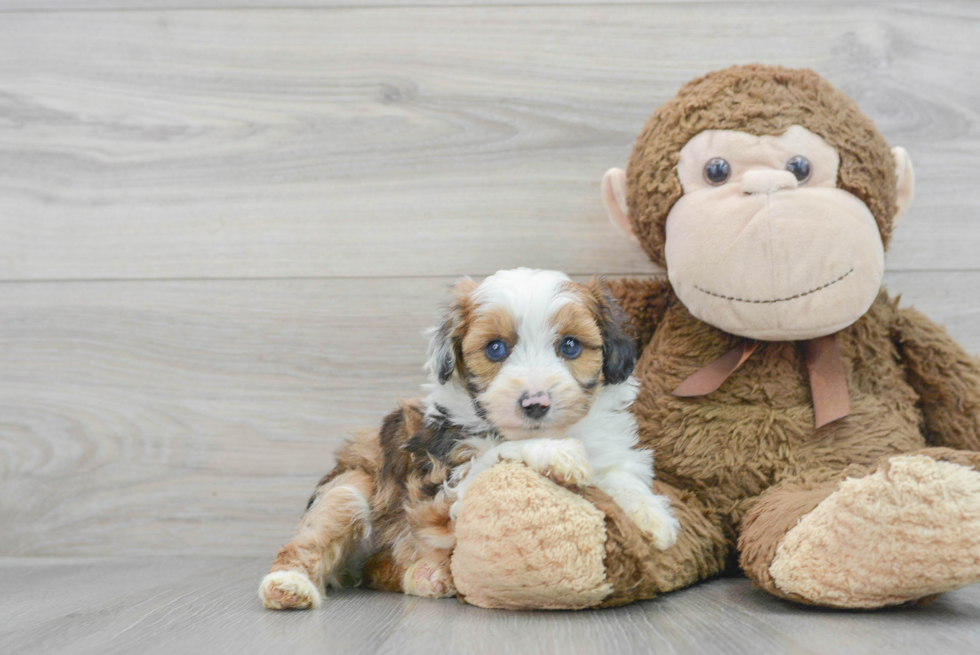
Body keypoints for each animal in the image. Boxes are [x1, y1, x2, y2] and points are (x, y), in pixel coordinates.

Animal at [256, 266, 676, 608]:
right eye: (496, 348)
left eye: (570, 345)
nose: (535, 403)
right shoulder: (445, 482)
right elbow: (501, 449)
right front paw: (556, 452)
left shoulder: (613, 451)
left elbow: (622, 475)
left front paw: (653, 516)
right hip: (348, 489)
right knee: (312, 538)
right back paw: (288, 585)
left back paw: (425, 576)